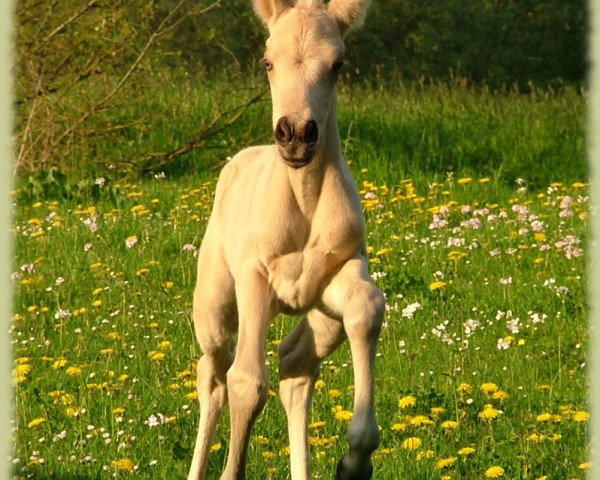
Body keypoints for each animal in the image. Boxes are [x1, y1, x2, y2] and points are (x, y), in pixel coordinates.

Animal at [188, 1, 384, 478]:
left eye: (337, 65)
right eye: (267, 62)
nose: (295, 134)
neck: (303, 201)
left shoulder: (340, 272)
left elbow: (367, 307)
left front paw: (355, 461)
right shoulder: (256, 279)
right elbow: (245, 382)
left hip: (322, 321)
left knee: (295, 368)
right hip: (215, 305)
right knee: (214, 374)